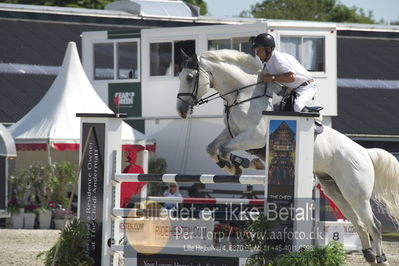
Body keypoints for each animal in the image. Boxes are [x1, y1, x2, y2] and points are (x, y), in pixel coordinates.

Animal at [177, 49, 399, 264]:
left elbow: (224, 150)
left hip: (357, 194)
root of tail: (364, 152)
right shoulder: (232, 133)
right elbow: (211, 148)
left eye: (189, 77)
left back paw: (381, 259)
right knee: (360, 224)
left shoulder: (254, 137)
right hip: (335, 190)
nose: (181, 111)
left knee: (374, 225)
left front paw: (241, 164)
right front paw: (234, 165)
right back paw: (369, 256)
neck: (245, 95)